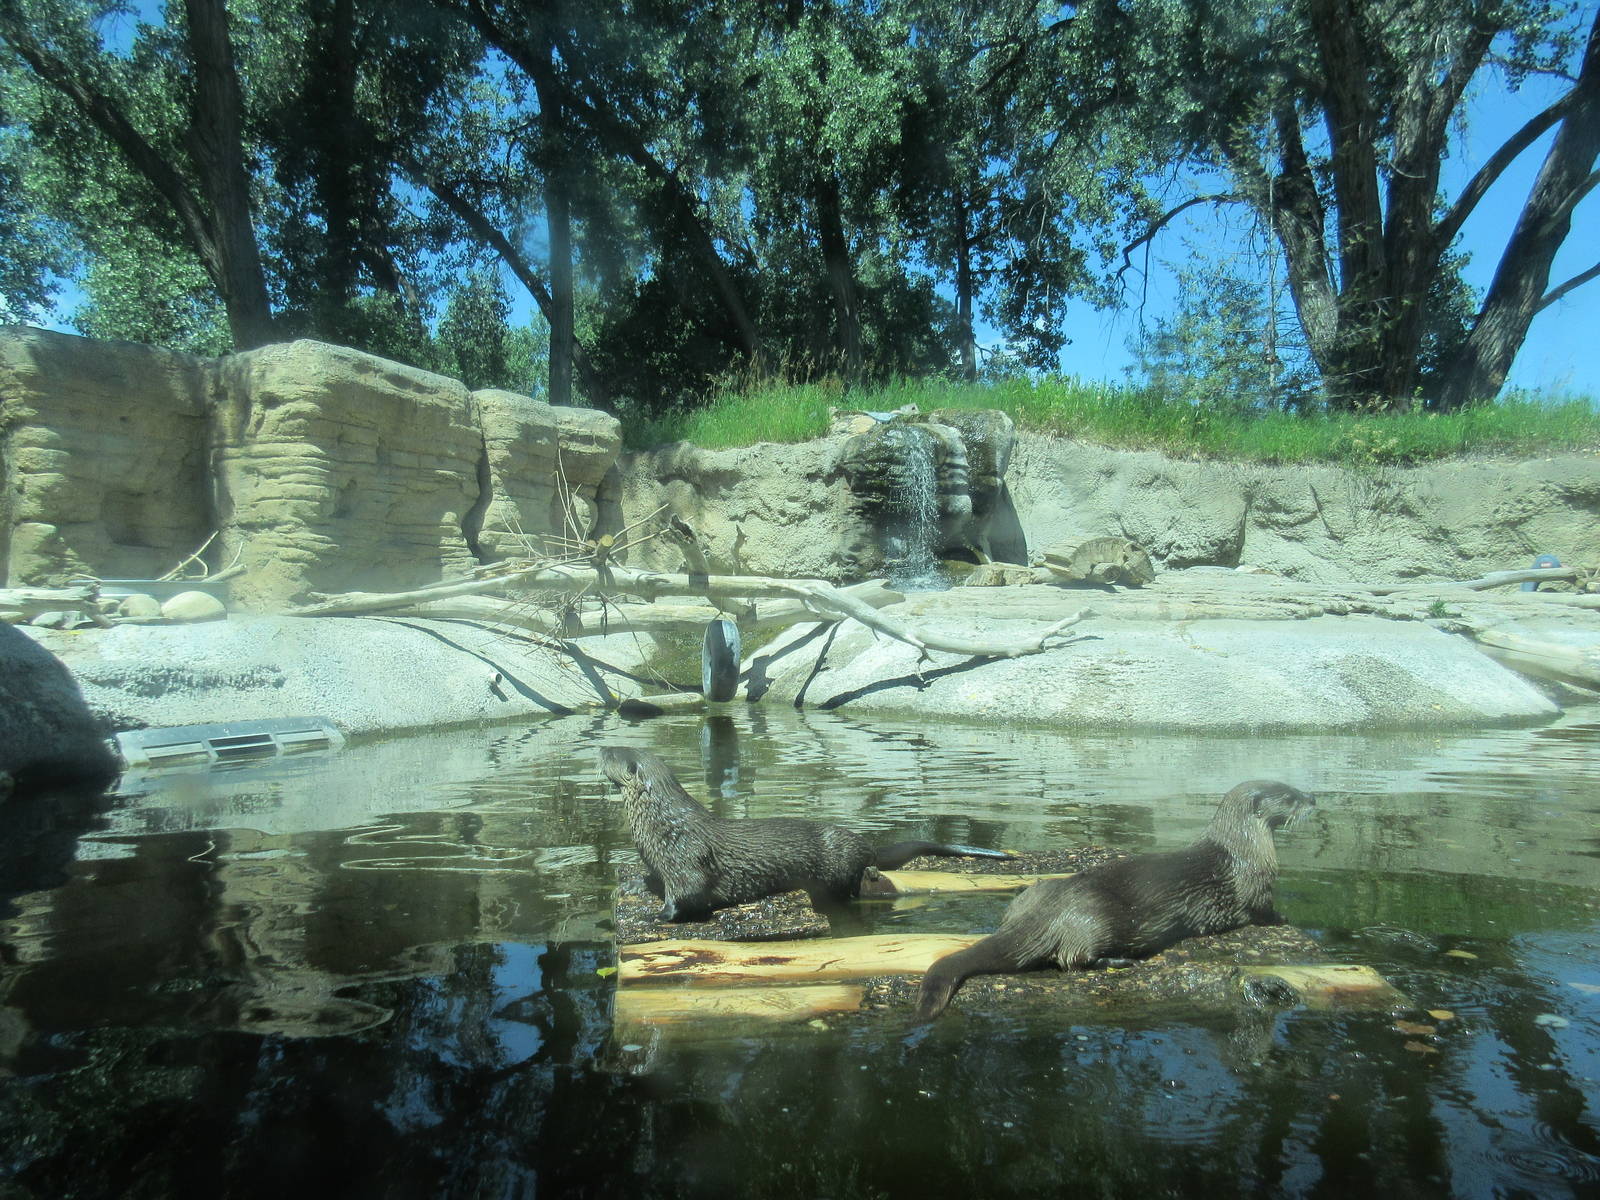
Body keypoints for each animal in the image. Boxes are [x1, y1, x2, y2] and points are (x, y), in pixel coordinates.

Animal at [600, 746, 1012, 922]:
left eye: (613, 754)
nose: (602, 746)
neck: (660, 824)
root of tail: (864, 843)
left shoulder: (685, 859)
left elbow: (686, 894)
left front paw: (658, 916)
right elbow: (655, 879)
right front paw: (637, 884)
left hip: (838, 867)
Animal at [914, 779, 1314, 1022]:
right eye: (1290, 795)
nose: (1312, 798)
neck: (1243, 848)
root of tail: (1046, 913)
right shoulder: (1255, 889)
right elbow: (1263, 911)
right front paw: (1283, 919)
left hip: (1031, 896)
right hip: (1096, 920)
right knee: (1072, 960)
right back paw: (1120, 961)